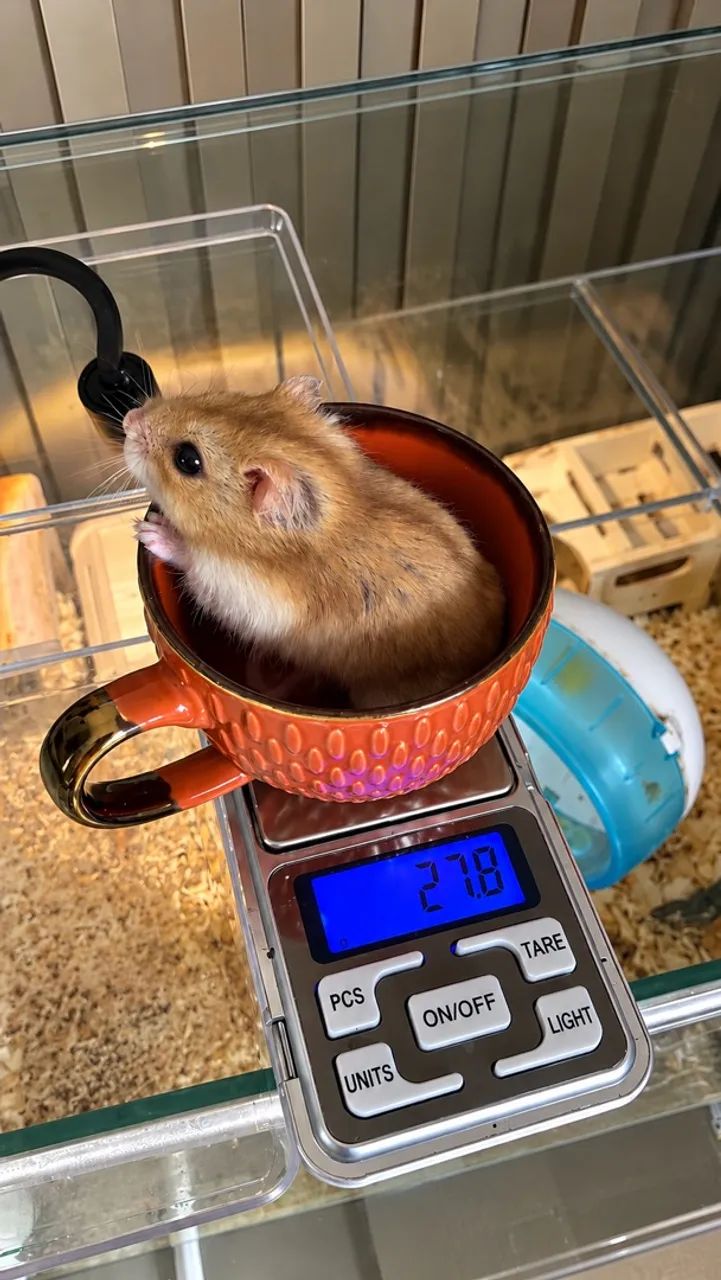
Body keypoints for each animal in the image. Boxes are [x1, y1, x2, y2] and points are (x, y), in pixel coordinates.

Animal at [123, 378, 505, 710]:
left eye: (187, 460)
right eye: (219, 396)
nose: (129, 419)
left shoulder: (237, 592)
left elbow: (190, 558)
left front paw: (148, 529)